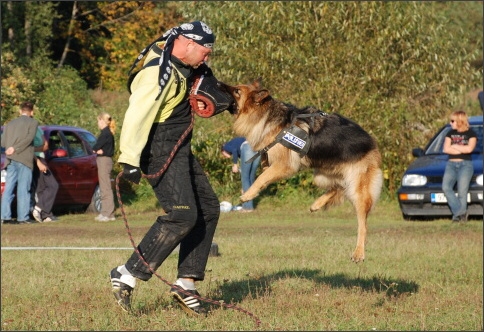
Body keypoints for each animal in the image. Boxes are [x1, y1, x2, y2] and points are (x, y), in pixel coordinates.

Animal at [221, 80, 384, 262]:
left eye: (237, 91)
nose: (219, 84)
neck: (267, 116)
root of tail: (373, 145)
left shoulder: (285, 165)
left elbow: (260, 178)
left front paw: (248, 195)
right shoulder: (272, 164)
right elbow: (264, 174)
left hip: (358, 191)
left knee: (362, 224)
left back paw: (359, 253)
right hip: (321, 175)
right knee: (338, 187)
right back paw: (317, 204)